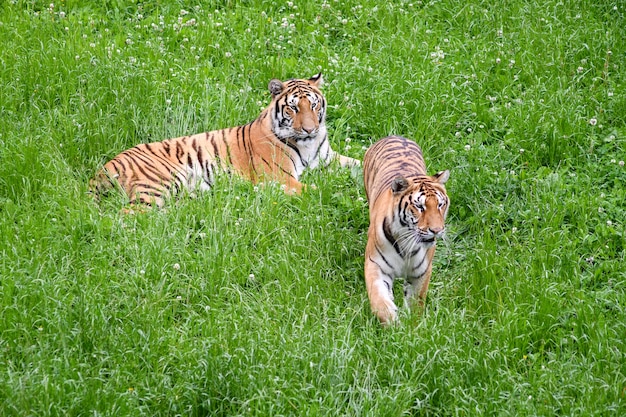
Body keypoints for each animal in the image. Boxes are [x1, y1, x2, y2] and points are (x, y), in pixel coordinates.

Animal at [90, 74, 358, 207]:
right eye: (293, 108)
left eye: (313, 105)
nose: (310, 129)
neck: (308, 144)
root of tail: (105, 167)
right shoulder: (279, 177)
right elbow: (315, 191)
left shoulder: (329, 159)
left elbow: (358, 163)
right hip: (161, 181)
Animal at [360, 135, 448, 324]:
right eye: (420, 206)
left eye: (440, 205)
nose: (436, 230)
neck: (407, 242)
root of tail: (395, 135)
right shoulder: (376, 265)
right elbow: (379, 298)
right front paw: (392, 321)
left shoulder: (421, 273)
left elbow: (416, 303)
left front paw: (412, 326)